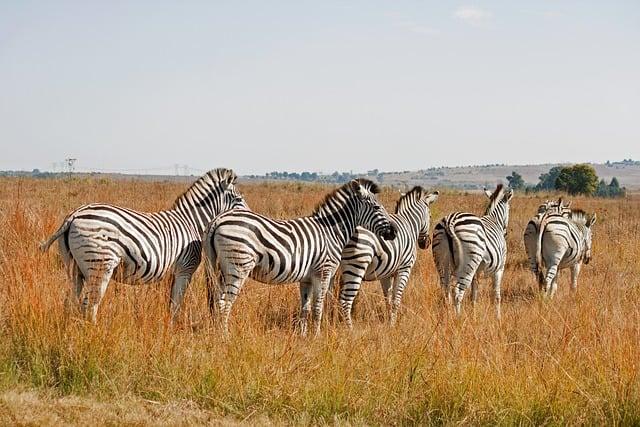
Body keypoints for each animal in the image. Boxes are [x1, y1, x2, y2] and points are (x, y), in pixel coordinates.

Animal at [38, 169, 246, 322]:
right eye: (239, 200)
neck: (191, 222)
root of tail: (73, 215)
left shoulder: (174, 270)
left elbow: (170, 301)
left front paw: (168, 325)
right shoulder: (185, 269)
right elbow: (177, 302)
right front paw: (174, 327)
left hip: (74, 268)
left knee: (70, 302)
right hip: (100, 265)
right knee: (90, 305)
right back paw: (94, 335)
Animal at [202, 178, 398, 338]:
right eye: (377, 207)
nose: (394, 232)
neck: (331, 232)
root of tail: (218, 219)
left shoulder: (307, 279)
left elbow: (305, 307)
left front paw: (303, 336)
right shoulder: (323, 272)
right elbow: (318, 306)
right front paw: (317, 336)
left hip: (219, 269)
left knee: (218, 301)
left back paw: (216, 333)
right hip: (237, 266)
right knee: (225, 303)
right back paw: (225, 336)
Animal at [338, 186, 438, 328]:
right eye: (430, 216)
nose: (425, 243)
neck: (409, 224)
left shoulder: (386, 273)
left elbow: (388, 299)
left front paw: (388, 320)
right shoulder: (405, 268)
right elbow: (396, 299)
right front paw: (393, 325)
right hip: (356, 266)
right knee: (345, 300)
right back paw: (349, 328)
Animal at [430, 186, 516, 320]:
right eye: (509, 209)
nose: (506, 233)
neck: (494, 219)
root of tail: (450, 221)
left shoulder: (477, 271)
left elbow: (473, 295)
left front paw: (473, 316)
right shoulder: (499, 268)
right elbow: (496, 295)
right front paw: (498, 318)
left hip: (442, 262)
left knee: (445, 291)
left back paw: (447, 317)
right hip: (468, 262)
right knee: (457, 292)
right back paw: (458, 319)